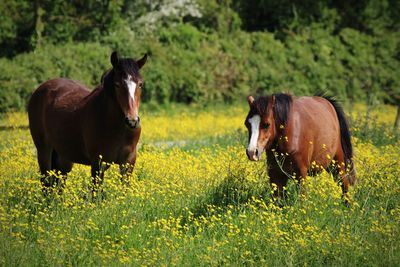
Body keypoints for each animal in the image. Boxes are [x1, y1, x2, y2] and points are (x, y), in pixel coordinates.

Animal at [27, 51, 147, 191]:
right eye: (117, 84)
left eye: (140, 84)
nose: (132, 121)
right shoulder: (97, 163)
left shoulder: (128, 162)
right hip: (44, 151)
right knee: (46, 183)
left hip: (64, 158)